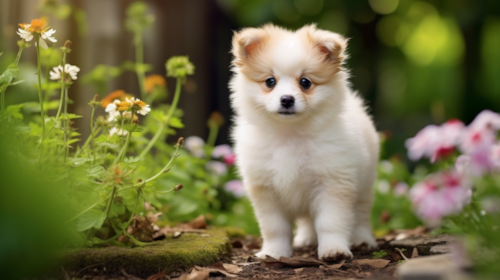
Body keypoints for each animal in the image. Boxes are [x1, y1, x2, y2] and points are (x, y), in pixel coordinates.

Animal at [229, 24, 378, 260]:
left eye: (305, 82)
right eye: (270, 81)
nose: (287, 99)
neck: (290, 133)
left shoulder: (333, 183)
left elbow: (330, 222)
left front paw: (334, 250)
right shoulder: (266, 190)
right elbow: (274, 227)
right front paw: (273, 253)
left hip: (365, 184)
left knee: (361, 215)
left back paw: (362, 240)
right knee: (308, 220)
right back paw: (306, 239)